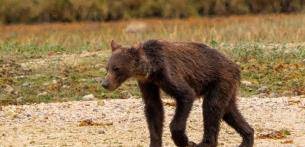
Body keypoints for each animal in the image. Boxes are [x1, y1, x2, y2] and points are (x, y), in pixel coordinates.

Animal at [101, 39, 253, 147]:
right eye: (107, 68)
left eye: (116, 68)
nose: (105, 84)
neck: (152, 69)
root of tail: (235, 66)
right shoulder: (147, 83)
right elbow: (154, 108)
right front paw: (155, 142)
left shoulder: (168, 73)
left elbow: (186, 95)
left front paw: (185, 141)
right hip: (227, 87)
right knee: (229, 111)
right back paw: (247, 138)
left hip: (220, 80)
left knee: (211, 107)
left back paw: (204, 143)